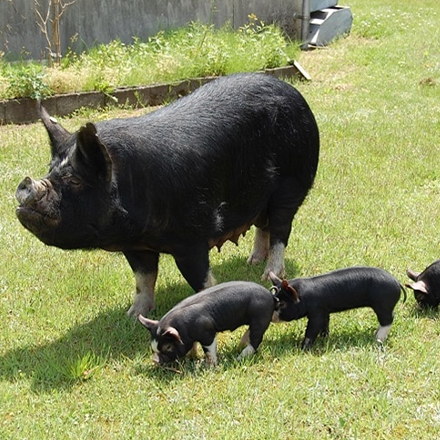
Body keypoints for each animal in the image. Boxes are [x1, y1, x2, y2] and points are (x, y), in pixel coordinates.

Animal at [15, 75, 318, 316]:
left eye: (75, 180)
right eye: (51, 170)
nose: (26, 184)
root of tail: (293, 92)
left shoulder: (193, 235)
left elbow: (200, 279)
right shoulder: (135, 246)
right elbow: (143, 278)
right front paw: (132, 314)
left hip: (291, 184)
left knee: (280, 229)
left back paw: (268, 274)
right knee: (263, 225)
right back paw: (251, 261)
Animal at [138, 280, 276, 366]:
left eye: (168, 347)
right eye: (153, 347)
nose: (155, 361)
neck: (184, 329)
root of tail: (271, 296)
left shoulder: (207, 331)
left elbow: (209, 350)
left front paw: (210, 366)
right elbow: (193, 346)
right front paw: (191, 357)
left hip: (260, 317)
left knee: (256, 338)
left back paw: (240, 357)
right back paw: (239, 346)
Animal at [270, 266, 408, 348]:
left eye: (282, 304)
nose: (271, 316)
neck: (303, 296)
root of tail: (397, 282)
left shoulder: (316, 310)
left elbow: (313, 327)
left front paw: (303, 348)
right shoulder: (324, 310)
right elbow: (325, 323)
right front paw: (325, 338)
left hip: (383, 303)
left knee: (388, 320)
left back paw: (377, 339)